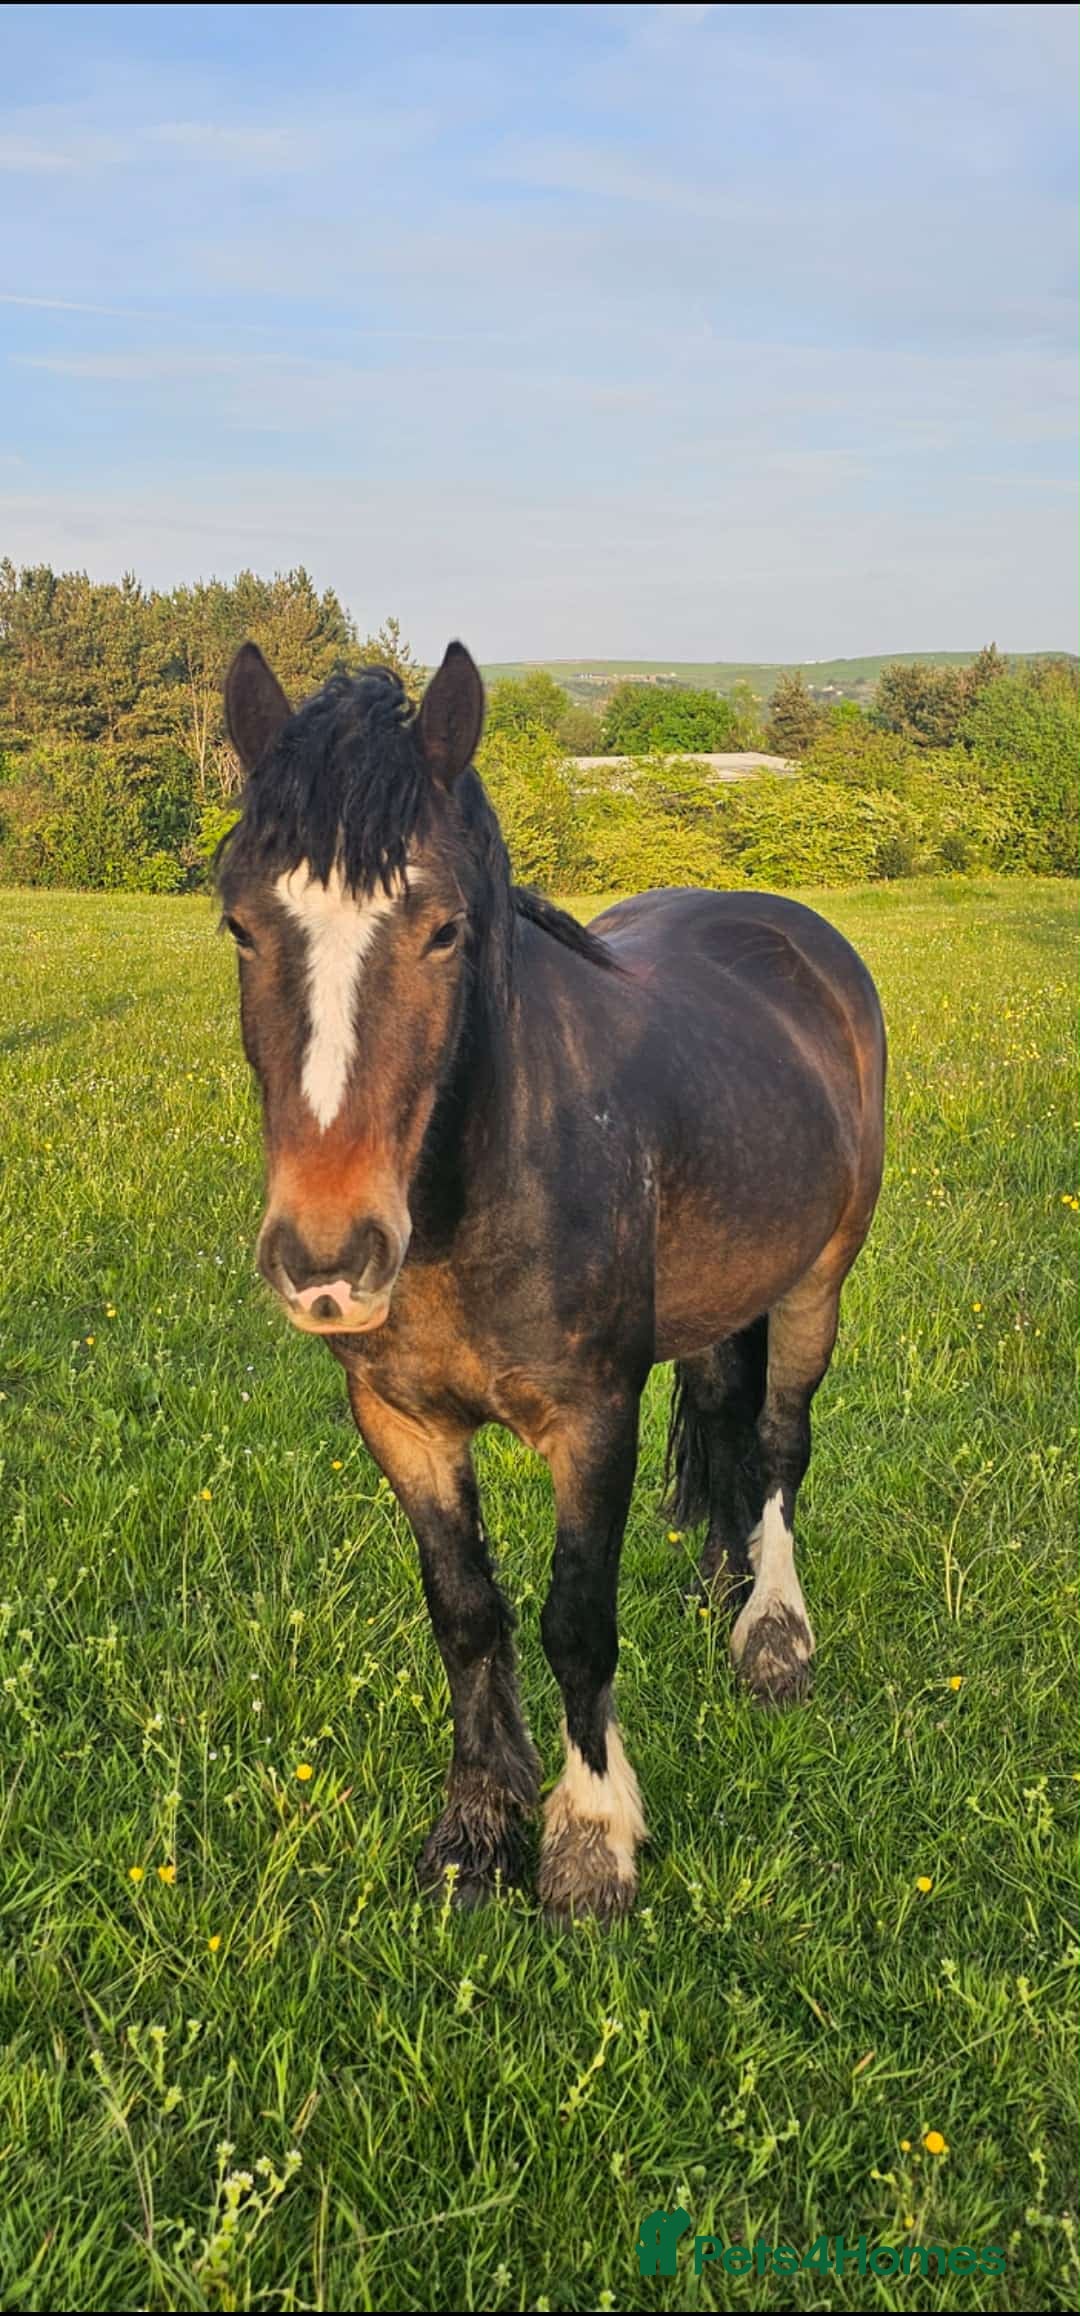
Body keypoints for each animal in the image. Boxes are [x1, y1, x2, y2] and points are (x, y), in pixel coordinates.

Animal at [217, 639, 886, 1921]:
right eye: (238, 925)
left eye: (443, 931)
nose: (328, 1261)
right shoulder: (401, 1421)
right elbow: (468, 1612)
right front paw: (478, 1825)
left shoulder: (592, 1420)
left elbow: (577, 1617)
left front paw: (590, 1840)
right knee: (725, 1417)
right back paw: (722, 1587)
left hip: (818, 1284)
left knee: (780, 1442)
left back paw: (772, 1633)